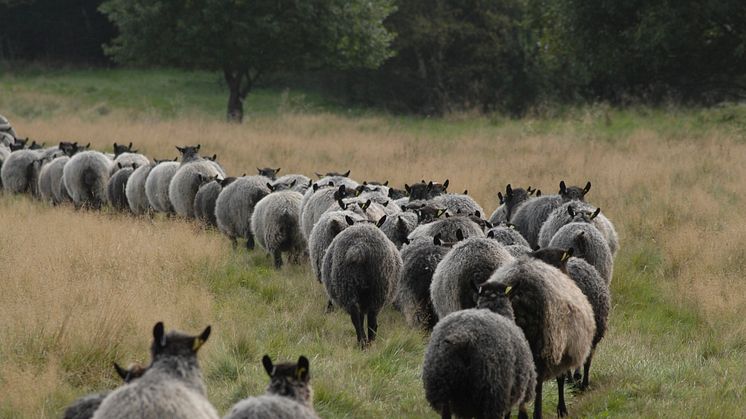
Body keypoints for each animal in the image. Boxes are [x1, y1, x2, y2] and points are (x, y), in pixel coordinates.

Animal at [320, 218, 402, 350]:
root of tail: (359, 247)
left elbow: (361, 317)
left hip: (348, 286)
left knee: (356, 317)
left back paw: (362, 342)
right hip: (377, 289)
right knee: (371, 320)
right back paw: (368, 343)